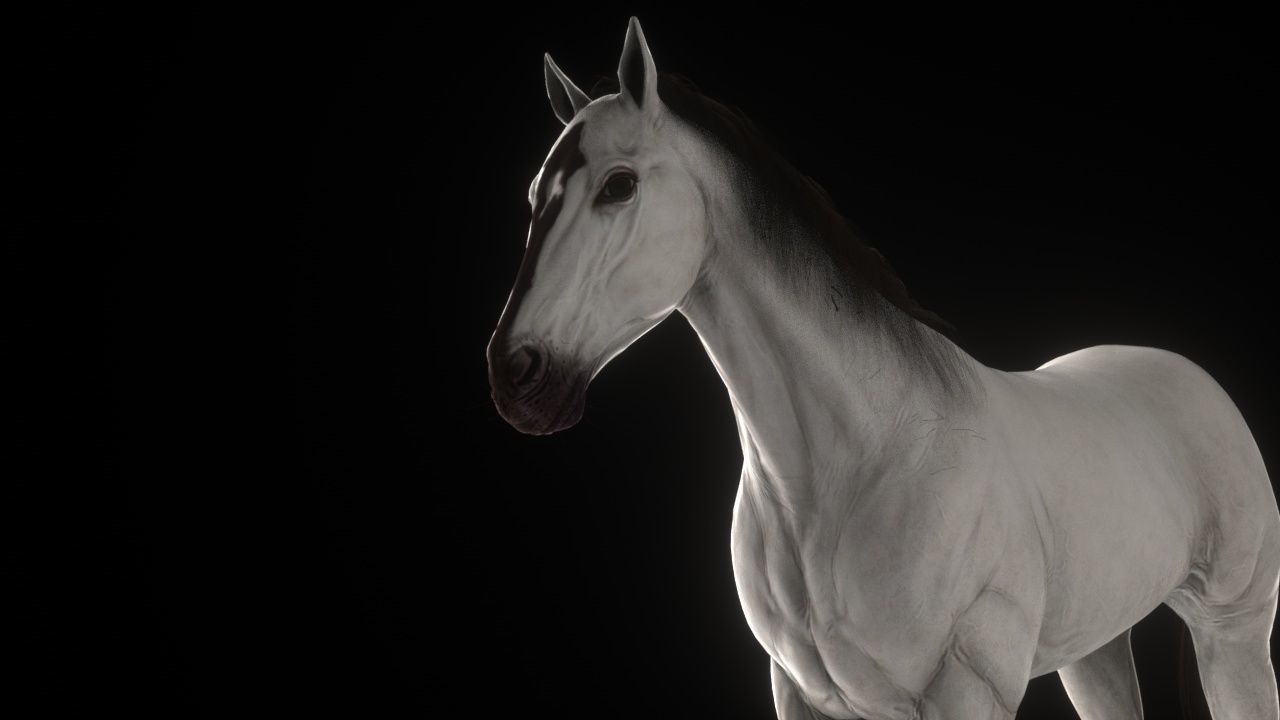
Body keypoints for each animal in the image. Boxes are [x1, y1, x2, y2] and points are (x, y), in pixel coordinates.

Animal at [485, 17, 1280, 720]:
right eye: (533, 196)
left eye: (618, 185)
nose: (516, 375)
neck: (858, 466)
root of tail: (1194, 376)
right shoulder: (800, 695)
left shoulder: (966, 693)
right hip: (1095, 650)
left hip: (1233, 635)